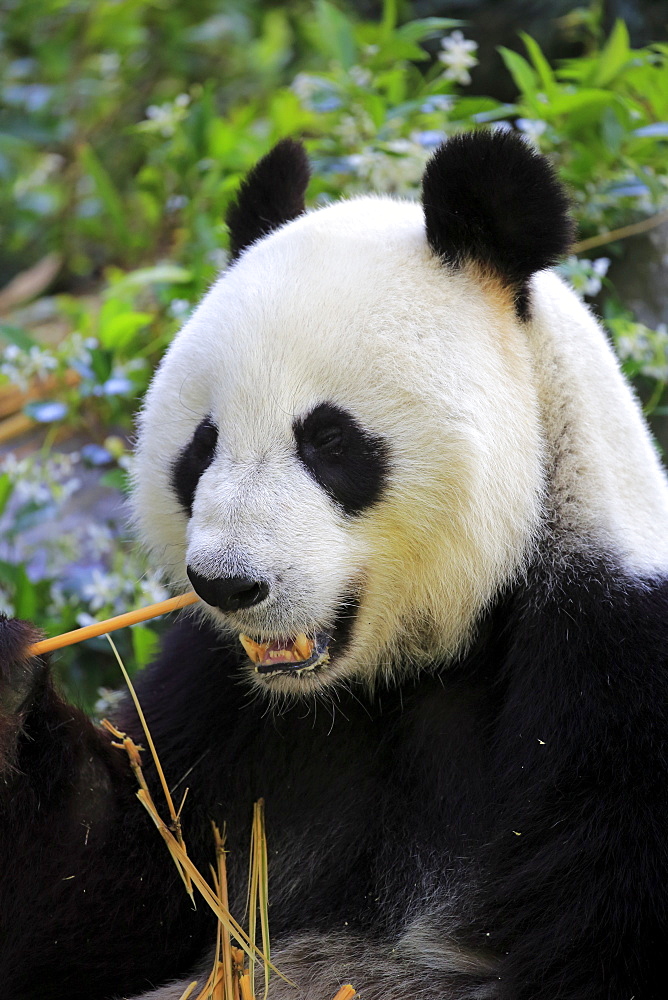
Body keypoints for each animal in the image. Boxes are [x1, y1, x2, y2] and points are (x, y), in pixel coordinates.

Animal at [1, 133, 668, 1000]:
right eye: (202, 446)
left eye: (330, 442)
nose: (229, 583)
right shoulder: (221, 703)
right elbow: (105, 893)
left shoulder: (615, 686)